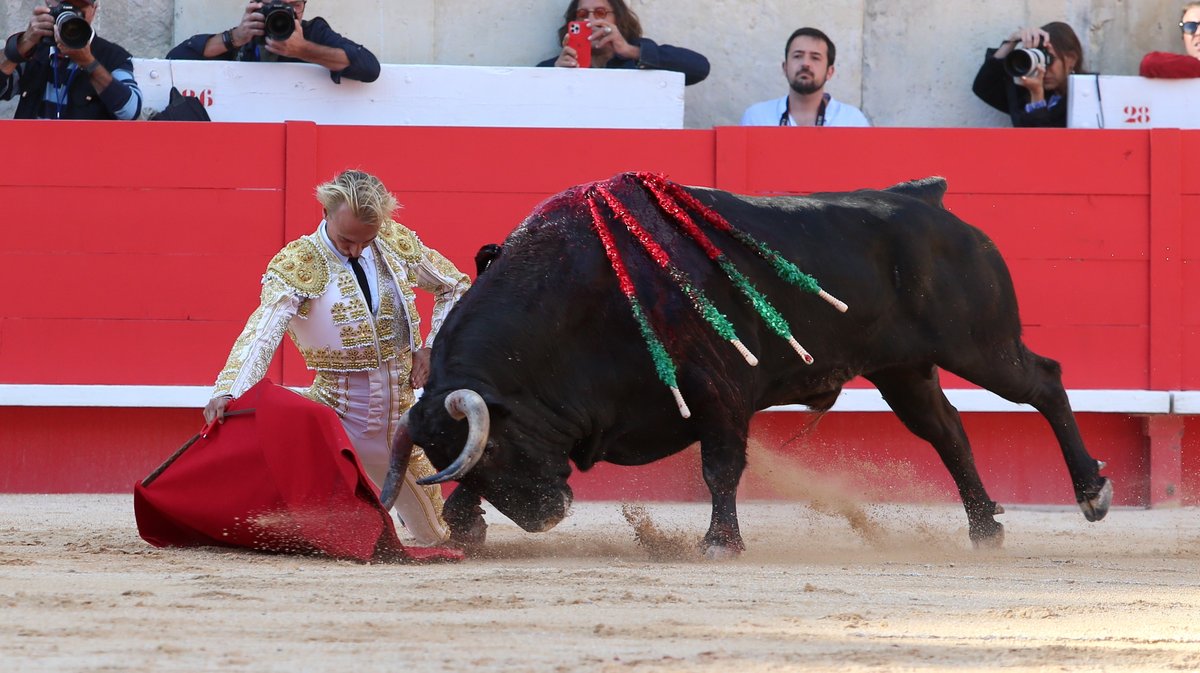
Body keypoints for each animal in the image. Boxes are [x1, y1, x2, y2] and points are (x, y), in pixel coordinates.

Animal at [384, 172, 1113, 556]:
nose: (547, 516)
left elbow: (720, 467)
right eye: (471, 456)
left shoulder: (720, 389)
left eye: (499, 448)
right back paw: (985, 525)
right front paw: (465, 527)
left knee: (1045, 383)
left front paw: (719, 542)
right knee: (949, 431)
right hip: (904, 370)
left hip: (981, 345)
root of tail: (924, 196)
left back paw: (1090, 493)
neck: (577, 301)